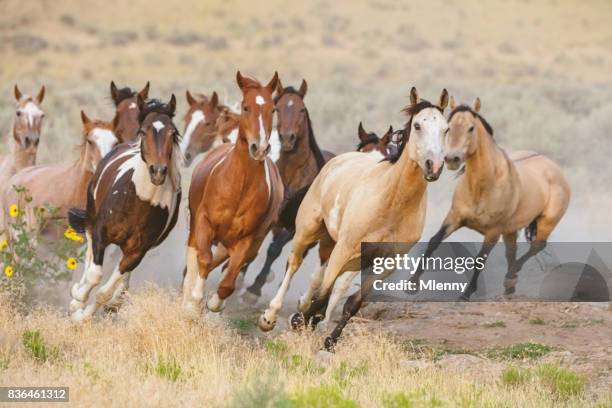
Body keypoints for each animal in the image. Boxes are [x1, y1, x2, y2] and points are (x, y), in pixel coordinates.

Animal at [68, 95, 182, 322]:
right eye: (143, 131)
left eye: (173, 133)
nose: (158, 171)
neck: (140, 202)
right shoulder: (101, 234)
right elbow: (94, 274)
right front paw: (77, 304)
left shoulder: (137, 252)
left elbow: (105, 292)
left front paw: (85, 316)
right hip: (91, 217)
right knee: (89, 256)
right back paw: (78, 292)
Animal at [182, 72, 284, 316]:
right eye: (246, 107)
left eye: (273, 109)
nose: (260, 148)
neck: (239, 187)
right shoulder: (203, 222)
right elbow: (204, 259)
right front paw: (193, 302)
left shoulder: (246, 240)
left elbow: (228, 282)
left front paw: (214, 303)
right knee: (196, 260)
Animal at [241, 79, 334, 302]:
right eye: (278, 109)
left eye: (301, 109)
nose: (287, 138)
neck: (293, 174)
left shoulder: (294, 227)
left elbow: (274, 250)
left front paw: (253, 289)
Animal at [258, 88, 450, 350]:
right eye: (418, 125)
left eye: (446, 129)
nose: (434, 166)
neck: (392, 202)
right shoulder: (344, 248)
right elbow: (322, 294)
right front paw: (300, 321)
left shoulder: (385, 262)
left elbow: (353, 302)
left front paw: (329, 340)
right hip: (309, 230)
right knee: (294, 264)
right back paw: (270, 316)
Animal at [408, 97, 572, 298]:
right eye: (448, 127)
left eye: (471, 128)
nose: (452, 159)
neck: (482, 187)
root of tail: (553, 168)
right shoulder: (454, 217)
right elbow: (434, 242)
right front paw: (412, 284)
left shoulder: (493, 231)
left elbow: (480, 258)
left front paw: (466, 293)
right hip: (511, 229)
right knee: (512, 252)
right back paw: (510, 286)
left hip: (547, 221)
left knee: (536, 246)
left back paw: (512, 275)